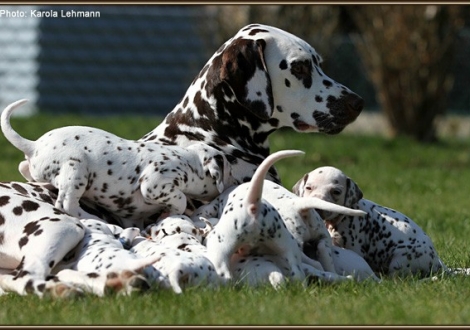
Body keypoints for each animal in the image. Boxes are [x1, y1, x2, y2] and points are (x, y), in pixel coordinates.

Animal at [0, 99, 235, 231]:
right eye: (227, 168)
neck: (188, 159)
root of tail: (34, 145)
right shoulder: (155, 183)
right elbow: (180, 199)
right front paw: (169, 213)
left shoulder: (132, 218)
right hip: (76, 170)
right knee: (67, 204)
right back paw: (92, 217)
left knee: (24, 168)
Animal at [292, 166, 446, 278]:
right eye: (308, 188)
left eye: (336, 192)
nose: (317, 207)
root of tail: (437, 263)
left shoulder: (354, 248)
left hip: (401, 258)